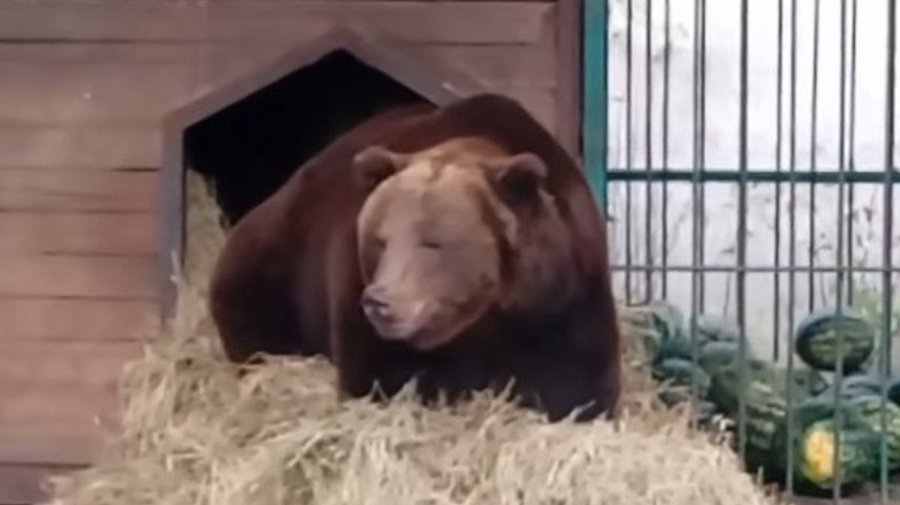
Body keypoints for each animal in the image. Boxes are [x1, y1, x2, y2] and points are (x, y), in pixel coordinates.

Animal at [208, 93, 622, 422]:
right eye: (380, 240)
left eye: (432, 242)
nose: (380, 301)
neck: (484, 316)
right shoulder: (357, 298)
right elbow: (383, 377)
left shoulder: (560, 296)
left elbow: (577, 382)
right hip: (274, 265)